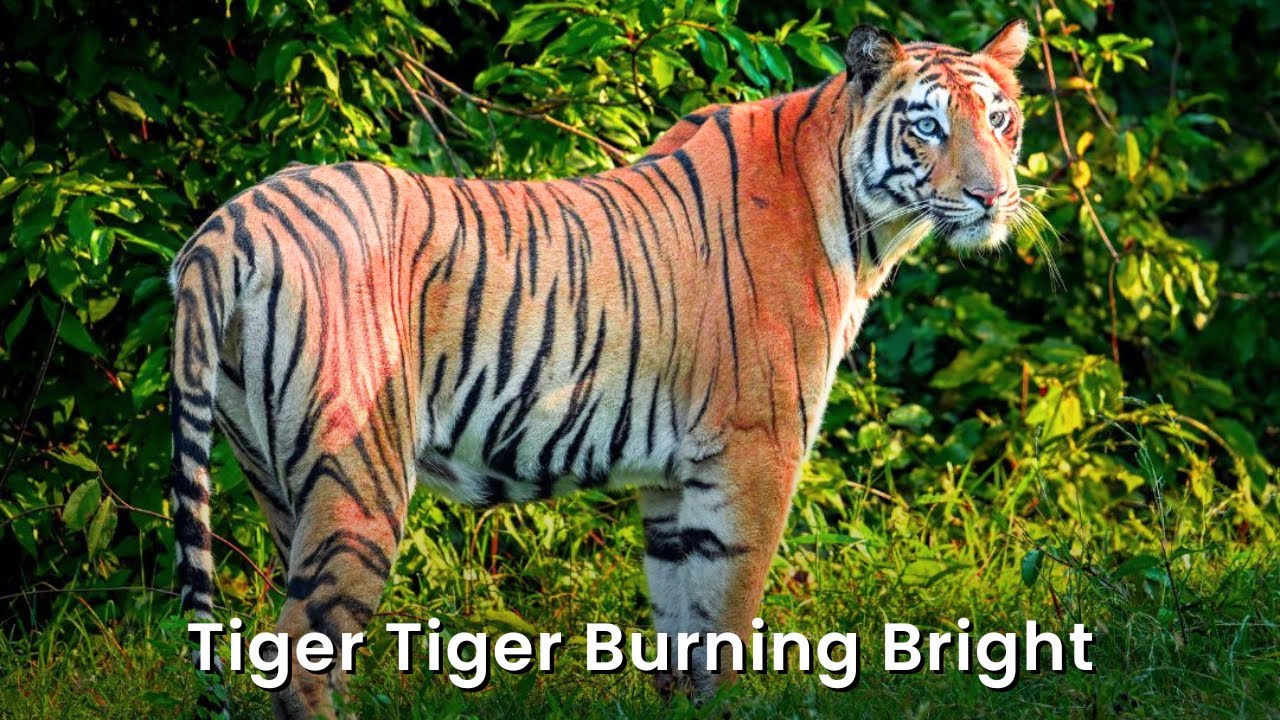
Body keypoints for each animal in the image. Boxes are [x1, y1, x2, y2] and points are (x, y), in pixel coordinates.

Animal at [168, 20, 1031, 717]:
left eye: (999, 120)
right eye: (927, 126)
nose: (994, 197)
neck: (860, 224)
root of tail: (232, 221)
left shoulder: (675, 480)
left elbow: (681, 629)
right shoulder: (757, 452)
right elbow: (727, 620)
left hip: (280, 480)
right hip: (361, 473)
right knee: (299, 665)